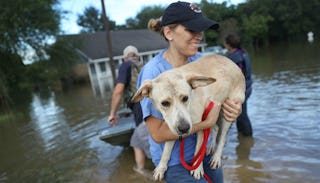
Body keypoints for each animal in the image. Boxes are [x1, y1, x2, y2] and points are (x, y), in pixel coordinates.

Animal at [131, 53, 244, 181]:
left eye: (185, 98)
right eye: (165, 103)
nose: (184, 128)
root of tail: (232, 62)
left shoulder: (200, 126)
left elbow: (198, 150)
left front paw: (197, 168)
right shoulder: (172, 127)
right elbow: (166, 150)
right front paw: (161, 167)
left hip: (227, 113)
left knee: (222, 137)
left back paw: (216, 157)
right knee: (214, 129)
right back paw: (210, 146)